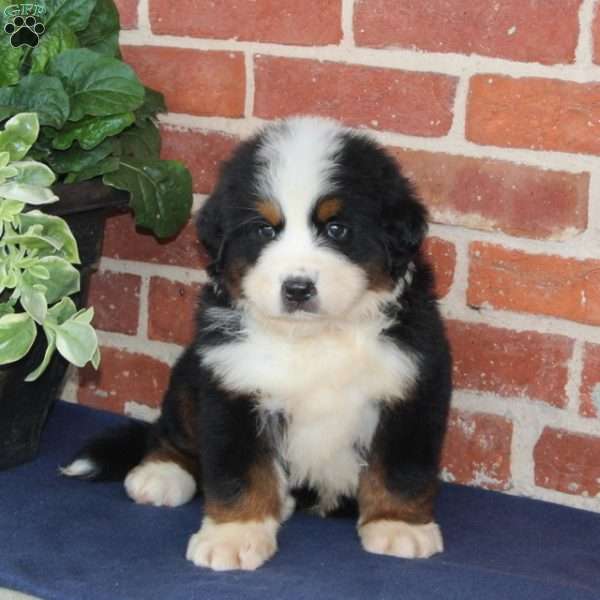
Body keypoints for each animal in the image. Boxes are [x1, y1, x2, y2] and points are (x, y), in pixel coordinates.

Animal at [63, 117, 452, 572]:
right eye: (265, 230)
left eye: (336, 229)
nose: (297, 288)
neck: (314, 336)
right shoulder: (233, 385)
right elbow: (240, 471)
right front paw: (234, 535)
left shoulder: (411, 384)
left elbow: (400, 468)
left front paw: (399, 525)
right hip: (190, 375)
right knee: (170, 433)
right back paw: (160, 474)